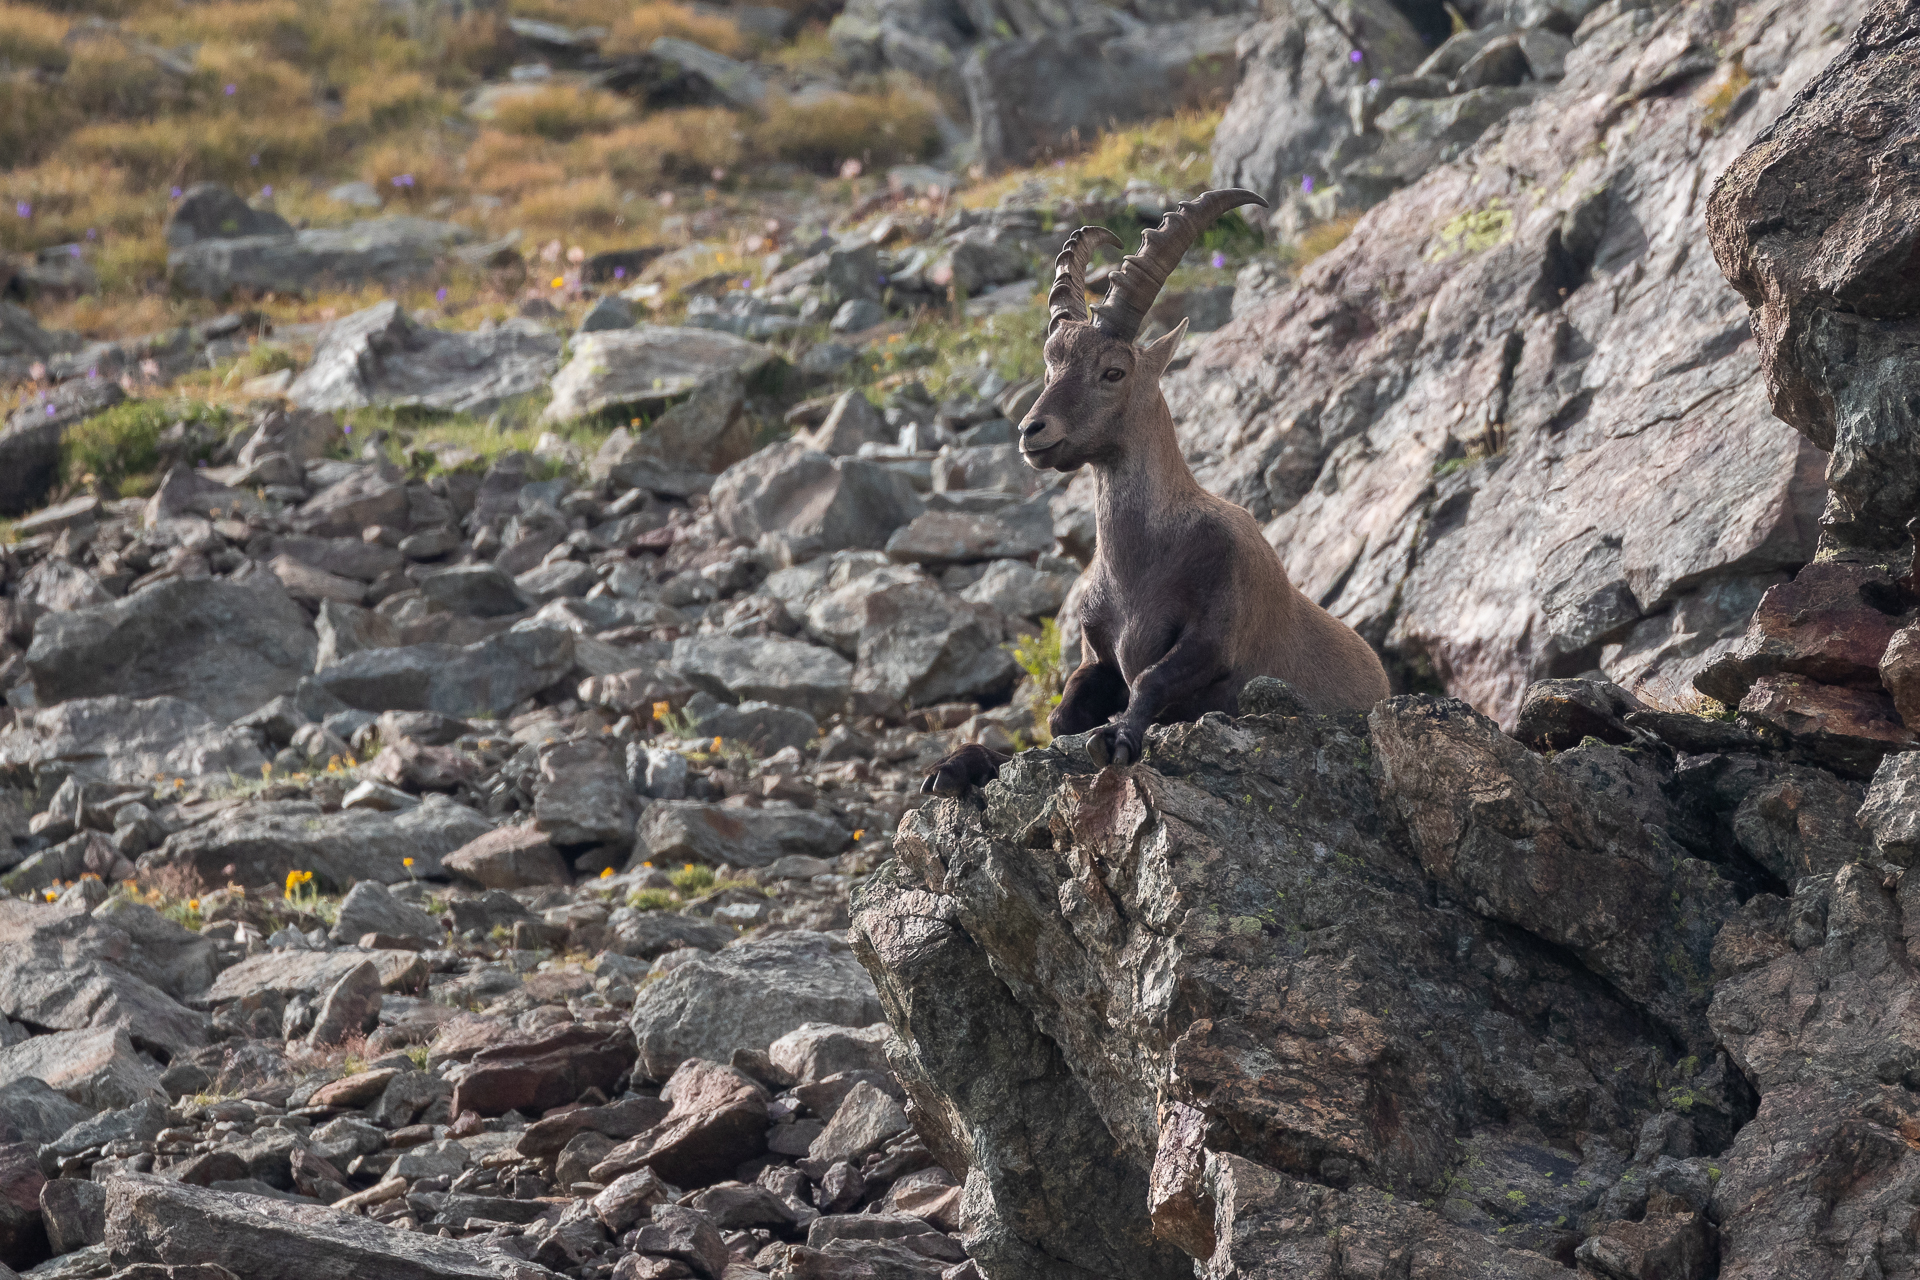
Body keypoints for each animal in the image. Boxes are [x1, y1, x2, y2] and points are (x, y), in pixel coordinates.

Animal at [924, 189, 1390, 795]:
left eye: (1114, 371)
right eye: (1050, 366)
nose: (1031, 431)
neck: (1140, 564)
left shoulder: (1218, 631)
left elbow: (1151, 679)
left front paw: (1117, 739)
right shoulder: (1097, 653)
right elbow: (1061, 716)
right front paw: (964, 762)